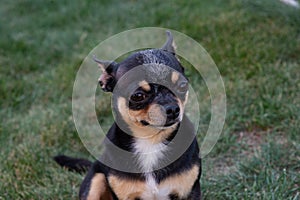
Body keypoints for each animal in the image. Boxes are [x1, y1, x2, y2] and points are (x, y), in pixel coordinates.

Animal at [56, 30, 202, 199]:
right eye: (138, 96)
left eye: (182, 85)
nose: (172, 109)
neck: (150, 141)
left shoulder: (189, 192)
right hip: (96, 180)